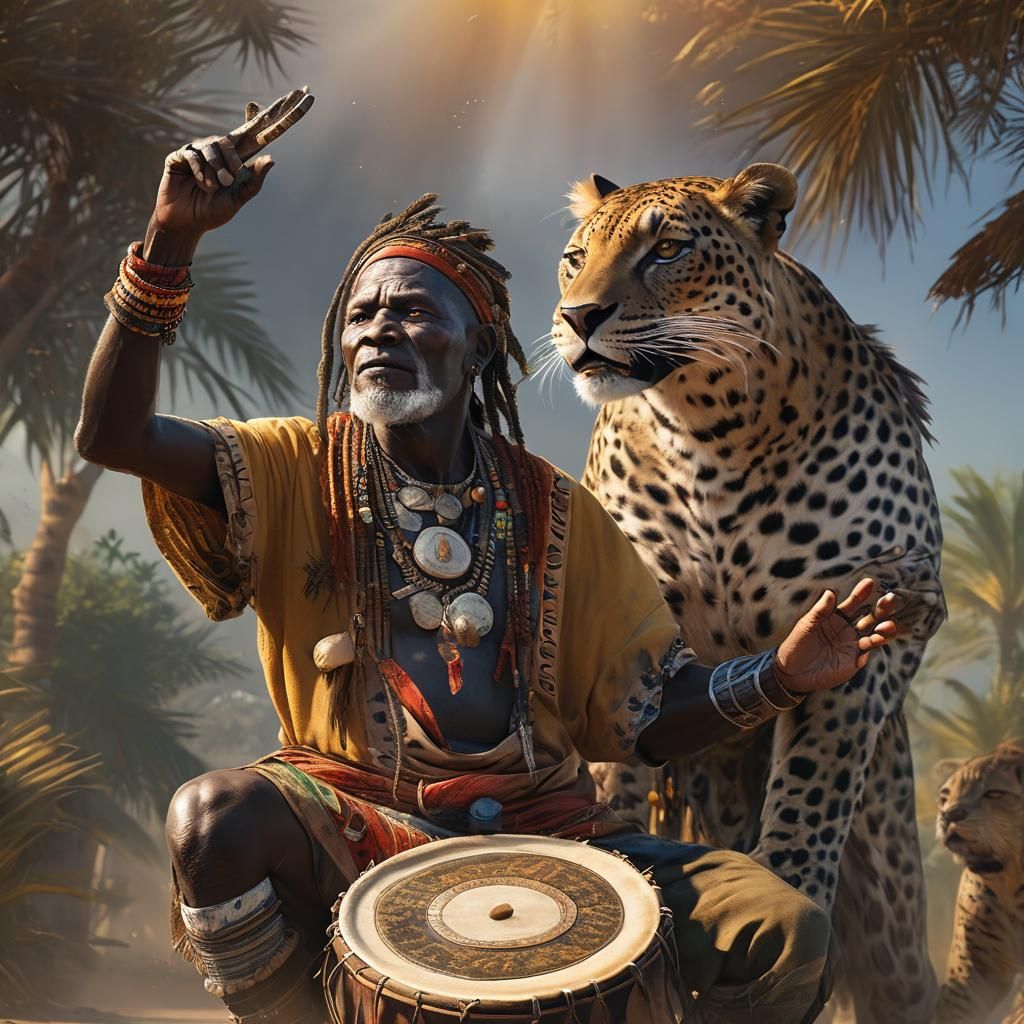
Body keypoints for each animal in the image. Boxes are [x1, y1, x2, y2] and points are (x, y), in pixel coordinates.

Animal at [546, 163, 947, 1024]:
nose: (578, 315)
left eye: (666, 250)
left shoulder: (871, 619)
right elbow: (615, 769)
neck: (709, 433)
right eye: (575, 259)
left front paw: (789, 886)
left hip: (893, 872)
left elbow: (815, 786)